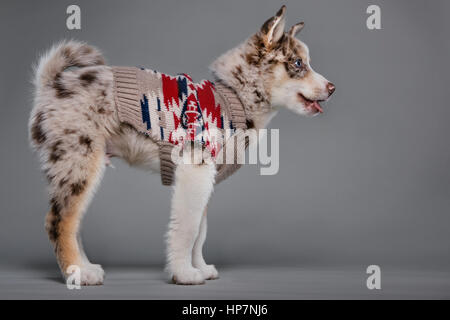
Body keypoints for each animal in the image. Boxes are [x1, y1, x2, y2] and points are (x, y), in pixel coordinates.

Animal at [28, 5, 334, 284]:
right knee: (59, 222)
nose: (332, 88)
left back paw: (86, 267)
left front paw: (200, 267)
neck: (234, 97)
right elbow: (186, 229)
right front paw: (184, 273)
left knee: (73, 222)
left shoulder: (205, 181)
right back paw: (77, 273)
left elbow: (200, 232)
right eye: (298, 64)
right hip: (79, 163)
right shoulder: (194, 173)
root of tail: (52, 83)